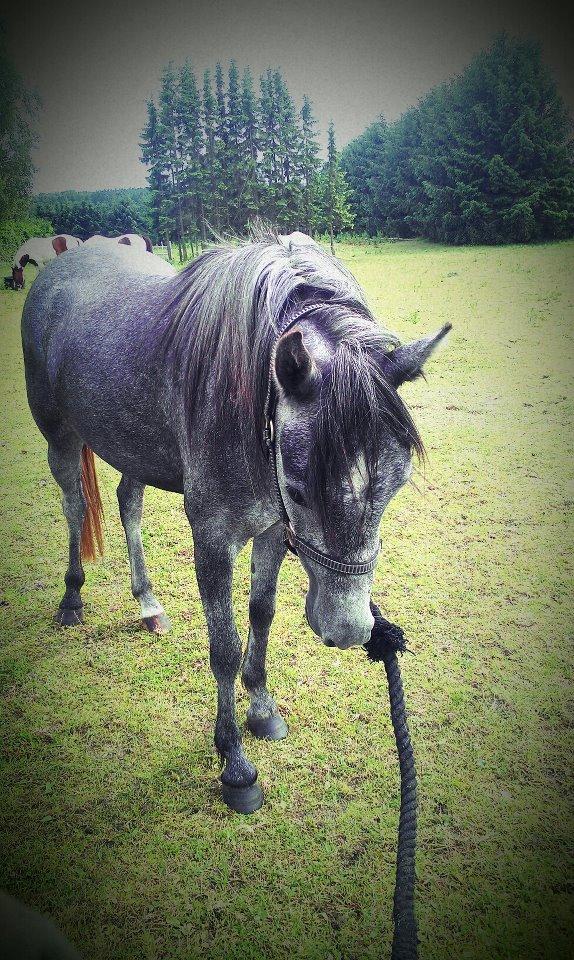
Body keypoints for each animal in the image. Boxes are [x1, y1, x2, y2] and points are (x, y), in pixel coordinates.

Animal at [21, 233, 450, 814]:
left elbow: (261, 614)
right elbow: (223, 647)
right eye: (299, 488)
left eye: (397, 484)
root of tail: (61, 264)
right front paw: (235, 764)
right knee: (74, 507)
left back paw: (148, 604)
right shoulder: (214, 538)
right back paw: (71, 598)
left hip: (134, 448)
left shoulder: (271, 528)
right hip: (60, 436)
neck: (244, 400)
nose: (349, 631)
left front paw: (262, 708)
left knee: (127, 502)